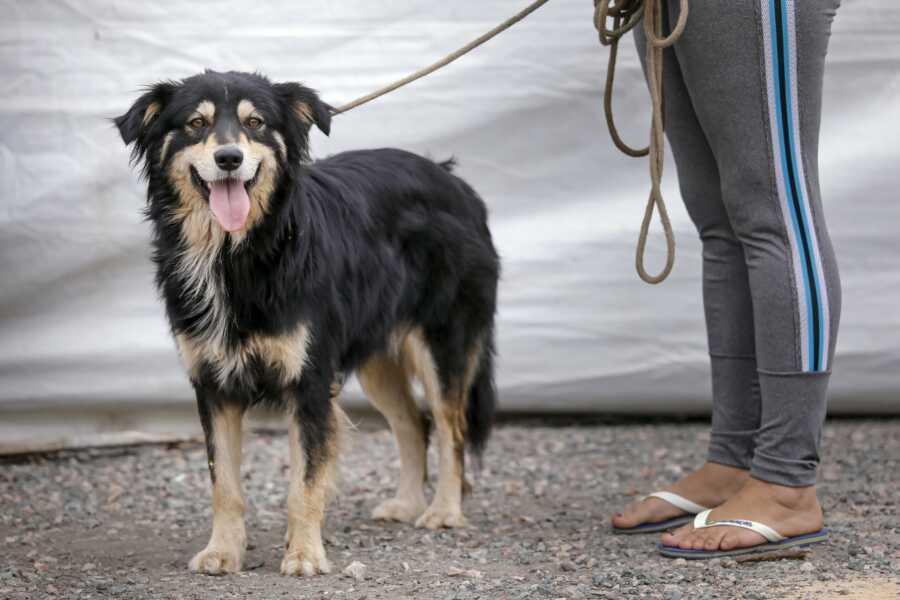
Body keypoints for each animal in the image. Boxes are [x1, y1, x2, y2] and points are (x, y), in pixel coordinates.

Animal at [114, 69, 500, 576]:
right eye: (196, 124)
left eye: (255, 122)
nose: (229, 158)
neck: (236, 254)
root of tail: (456, 181)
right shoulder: (213, 385)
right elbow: (224, 484)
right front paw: (223, 551)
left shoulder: (309, 381)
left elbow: (305, 482)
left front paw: (303, 555)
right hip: (377, 359)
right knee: (414, 424)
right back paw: (406, 503)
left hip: (442, 342)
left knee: (450, 427)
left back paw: (443, 511)